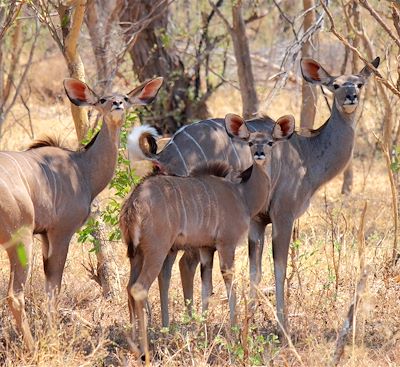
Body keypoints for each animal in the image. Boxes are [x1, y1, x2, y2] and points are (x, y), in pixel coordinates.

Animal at [0, 76, 162, 350]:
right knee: (15, 295)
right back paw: (32, 348)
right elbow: (53, 287)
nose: (117, 104)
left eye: (125, 98)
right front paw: (52, 338)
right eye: (102, 99)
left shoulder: (45, 236)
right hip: (20, 239)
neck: (81, 168)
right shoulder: (60, 233)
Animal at [120, 113, 296, 360]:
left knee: (129, 288)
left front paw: (199, 333)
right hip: (157, 250)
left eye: (270, 142)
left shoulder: (205, 248)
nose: (260, 154)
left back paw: (134, 345)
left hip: (136, 254)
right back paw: (145, 351)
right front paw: (234, 331)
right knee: (139, 288)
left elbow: (205, 288)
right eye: (251, 142)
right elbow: (230, 281)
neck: (242, 195)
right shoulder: (226, 244)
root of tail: (134, 203)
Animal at [128, 56, 378, 334]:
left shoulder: (258, 222)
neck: (306, 153)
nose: (351, 97)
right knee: (178, 264)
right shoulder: (282, 214)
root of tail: (162, 155)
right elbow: (279, 266)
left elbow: (254, 270)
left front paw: (251, 317)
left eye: (360, 83)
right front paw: (281, 323)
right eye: (335, 85)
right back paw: (177, 323)